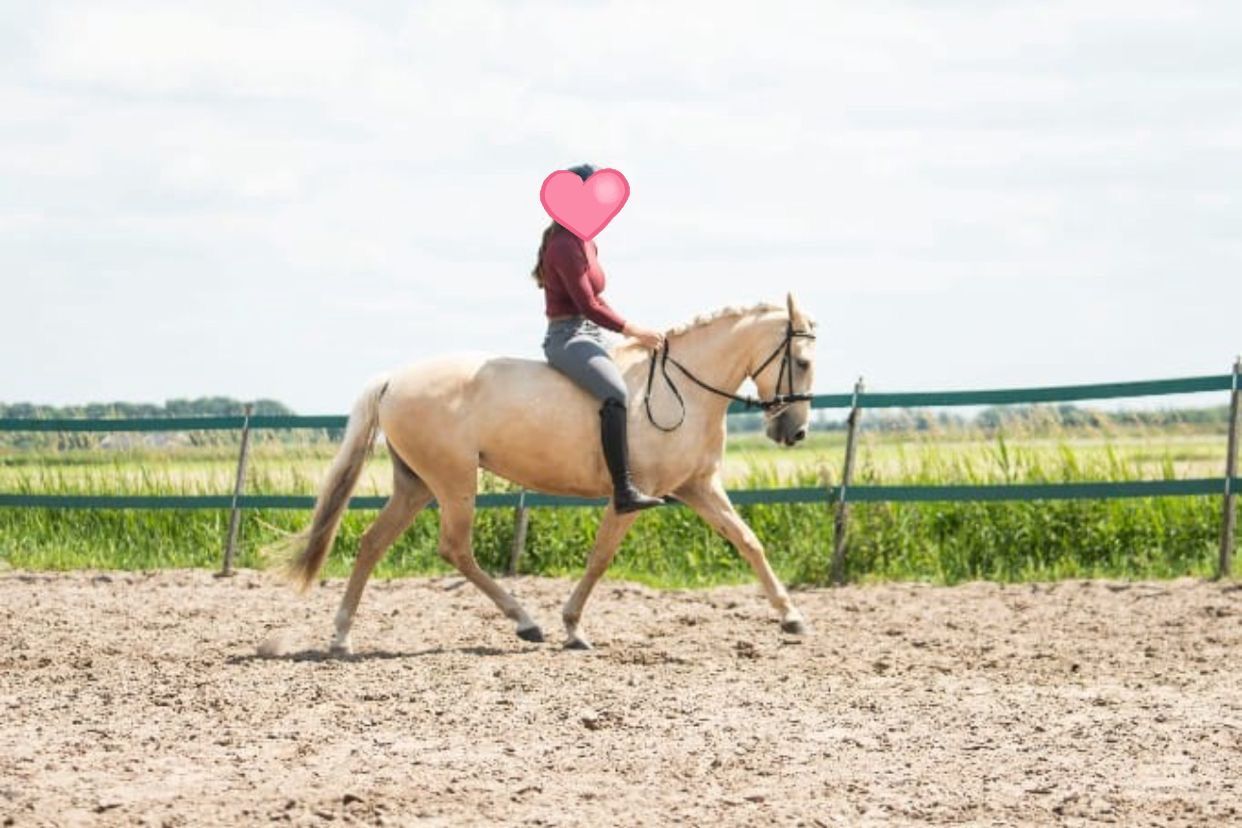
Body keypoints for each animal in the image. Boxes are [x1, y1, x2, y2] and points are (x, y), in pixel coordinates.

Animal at [278, 293, 817, 652]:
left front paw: (791, 618)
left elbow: (748, 541)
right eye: (802, 360)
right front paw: (574, 626)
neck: (681, 389)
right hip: (454, 482)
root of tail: (393, 379)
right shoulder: (635, 495)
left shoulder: (698, 486)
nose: (793, 432)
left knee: (373, 542)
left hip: (416, 484)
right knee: (454, 548)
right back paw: (525, 622)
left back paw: (341, 637)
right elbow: (600, 558)